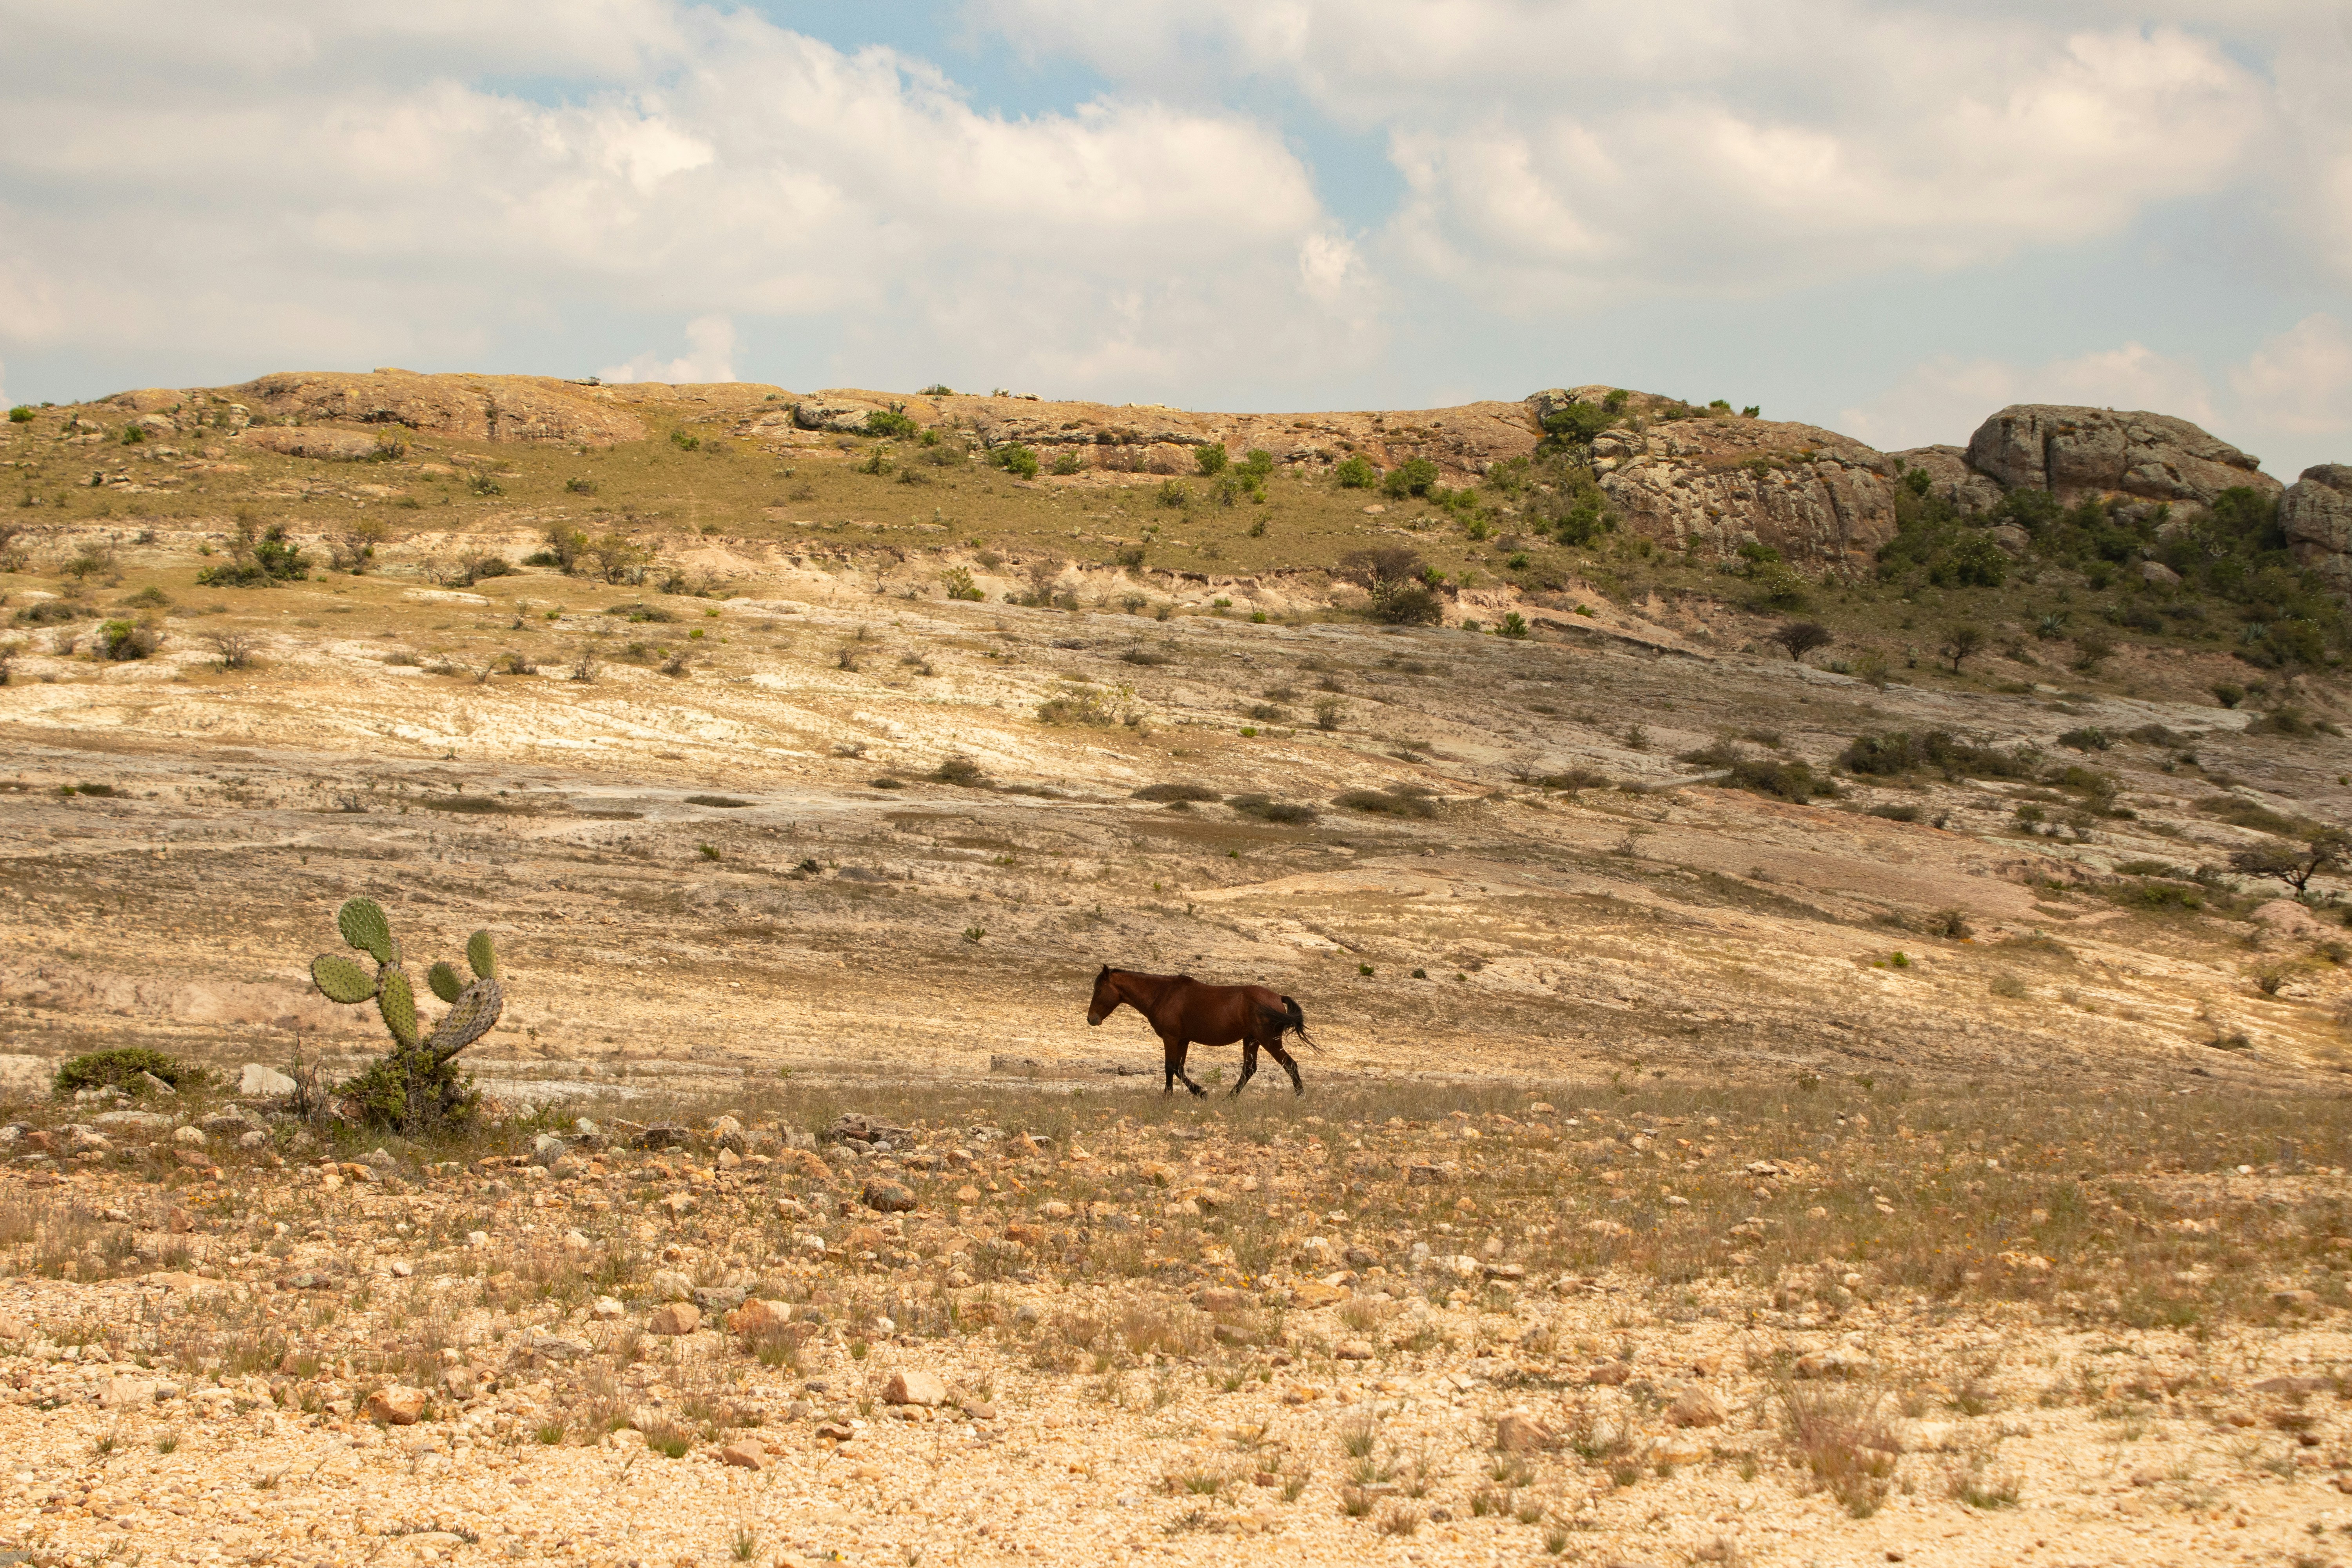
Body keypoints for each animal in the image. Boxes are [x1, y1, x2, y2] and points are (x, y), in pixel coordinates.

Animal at [1087, 964, 1317, 1100]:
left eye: (1098, 990)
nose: (1091, 1019)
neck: (1163, 994)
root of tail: (1278, 997)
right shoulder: (1183, 1040)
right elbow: (1179, 1069)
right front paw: (1201, 1093)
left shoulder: (1171, 1039)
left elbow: (1170, 1068)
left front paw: (1169, 1096)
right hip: (1251, 1041)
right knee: (1249, 1070)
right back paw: (1229, 1098)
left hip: (1269, 1041)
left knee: (1290, 1065)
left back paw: (1300, 1097)